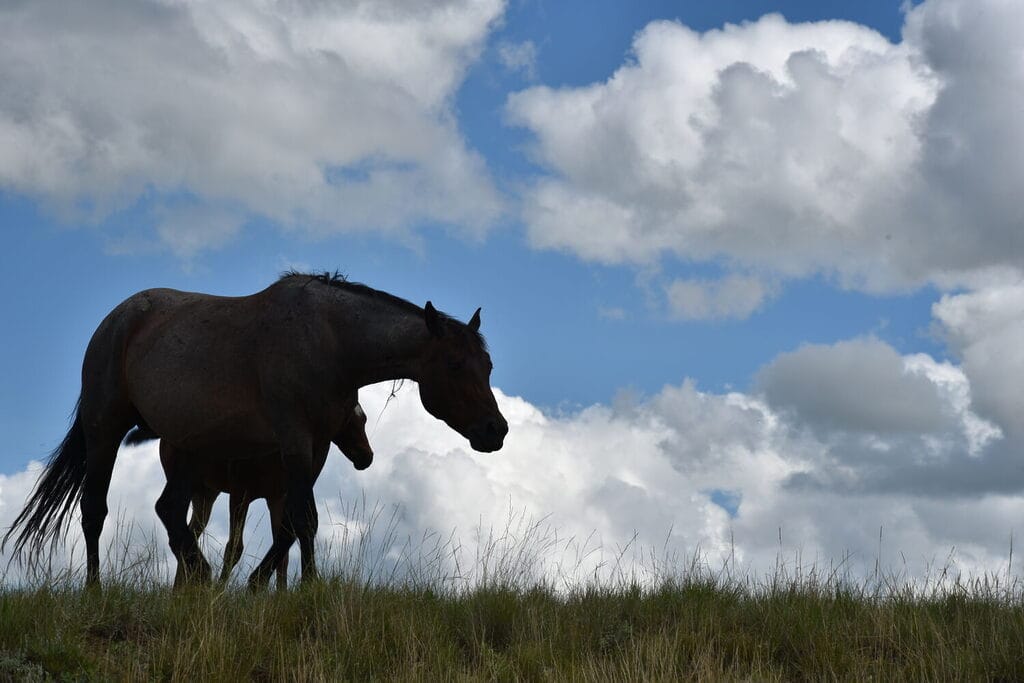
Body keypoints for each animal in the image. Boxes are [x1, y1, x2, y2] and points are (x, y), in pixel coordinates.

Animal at [125, 399, 373, 589]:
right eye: (349, 418)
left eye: (364, 418)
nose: (366, 457)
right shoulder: (240, 495)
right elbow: (234, 548)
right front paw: (219, 591)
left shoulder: (277, 499)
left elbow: (283, 550)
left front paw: (280, 596)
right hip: (193, 487)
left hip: (206, 496)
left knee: (190, 531)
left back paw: (181, 590)